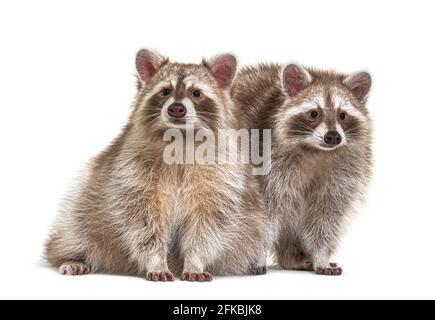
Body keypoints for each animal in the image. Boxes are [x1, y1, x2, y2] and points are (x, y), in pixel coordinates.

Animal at [44, 48, 270, 282]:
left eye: (196, 93)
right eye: (165, 91)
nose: (176, 109)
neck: (180, 138)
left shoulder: (222, 179)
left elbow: (207, 228)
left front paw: (194, 261)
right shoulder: (130, 172)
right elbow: (142, 225)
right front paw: (156, 261)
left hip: (255, 223)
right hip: (84, 203)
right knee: (74, 229)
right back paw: (73, 257)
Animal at [233, 63, 372, 276]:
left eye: (342, 115)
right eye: (314, 113)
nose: (333, 136)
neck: (317, 152)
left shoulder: (344, 171)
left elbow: (326, 216)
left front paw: (321, 257)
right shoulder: (265, 163)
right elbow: (265, 214)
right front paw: (257, 256)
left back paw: (294, 258)